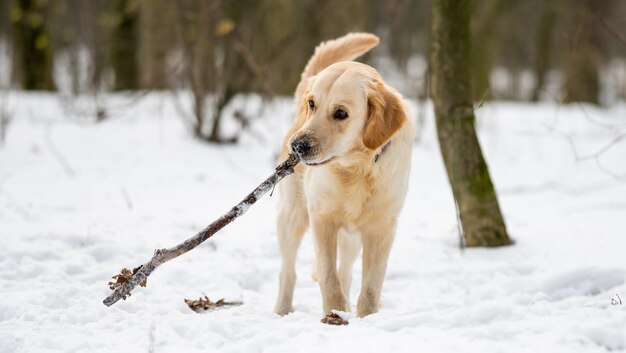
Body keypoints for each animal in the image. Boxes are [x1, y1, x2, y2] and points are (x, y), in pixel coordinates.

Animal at [274, 33, 412, 318]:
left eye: (341, 113)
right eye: (312, 104)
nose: (298, 146)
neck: (356, 170)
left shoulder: (381, 227)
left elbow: (370, 286)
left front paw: (365, 317)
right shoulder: (322, 218)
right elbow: (329, 276)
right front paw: (335, 313)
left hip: (351, 238)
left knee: (346, 272)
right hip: (292, 216)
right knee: (288, 272)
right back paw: (282, 311)